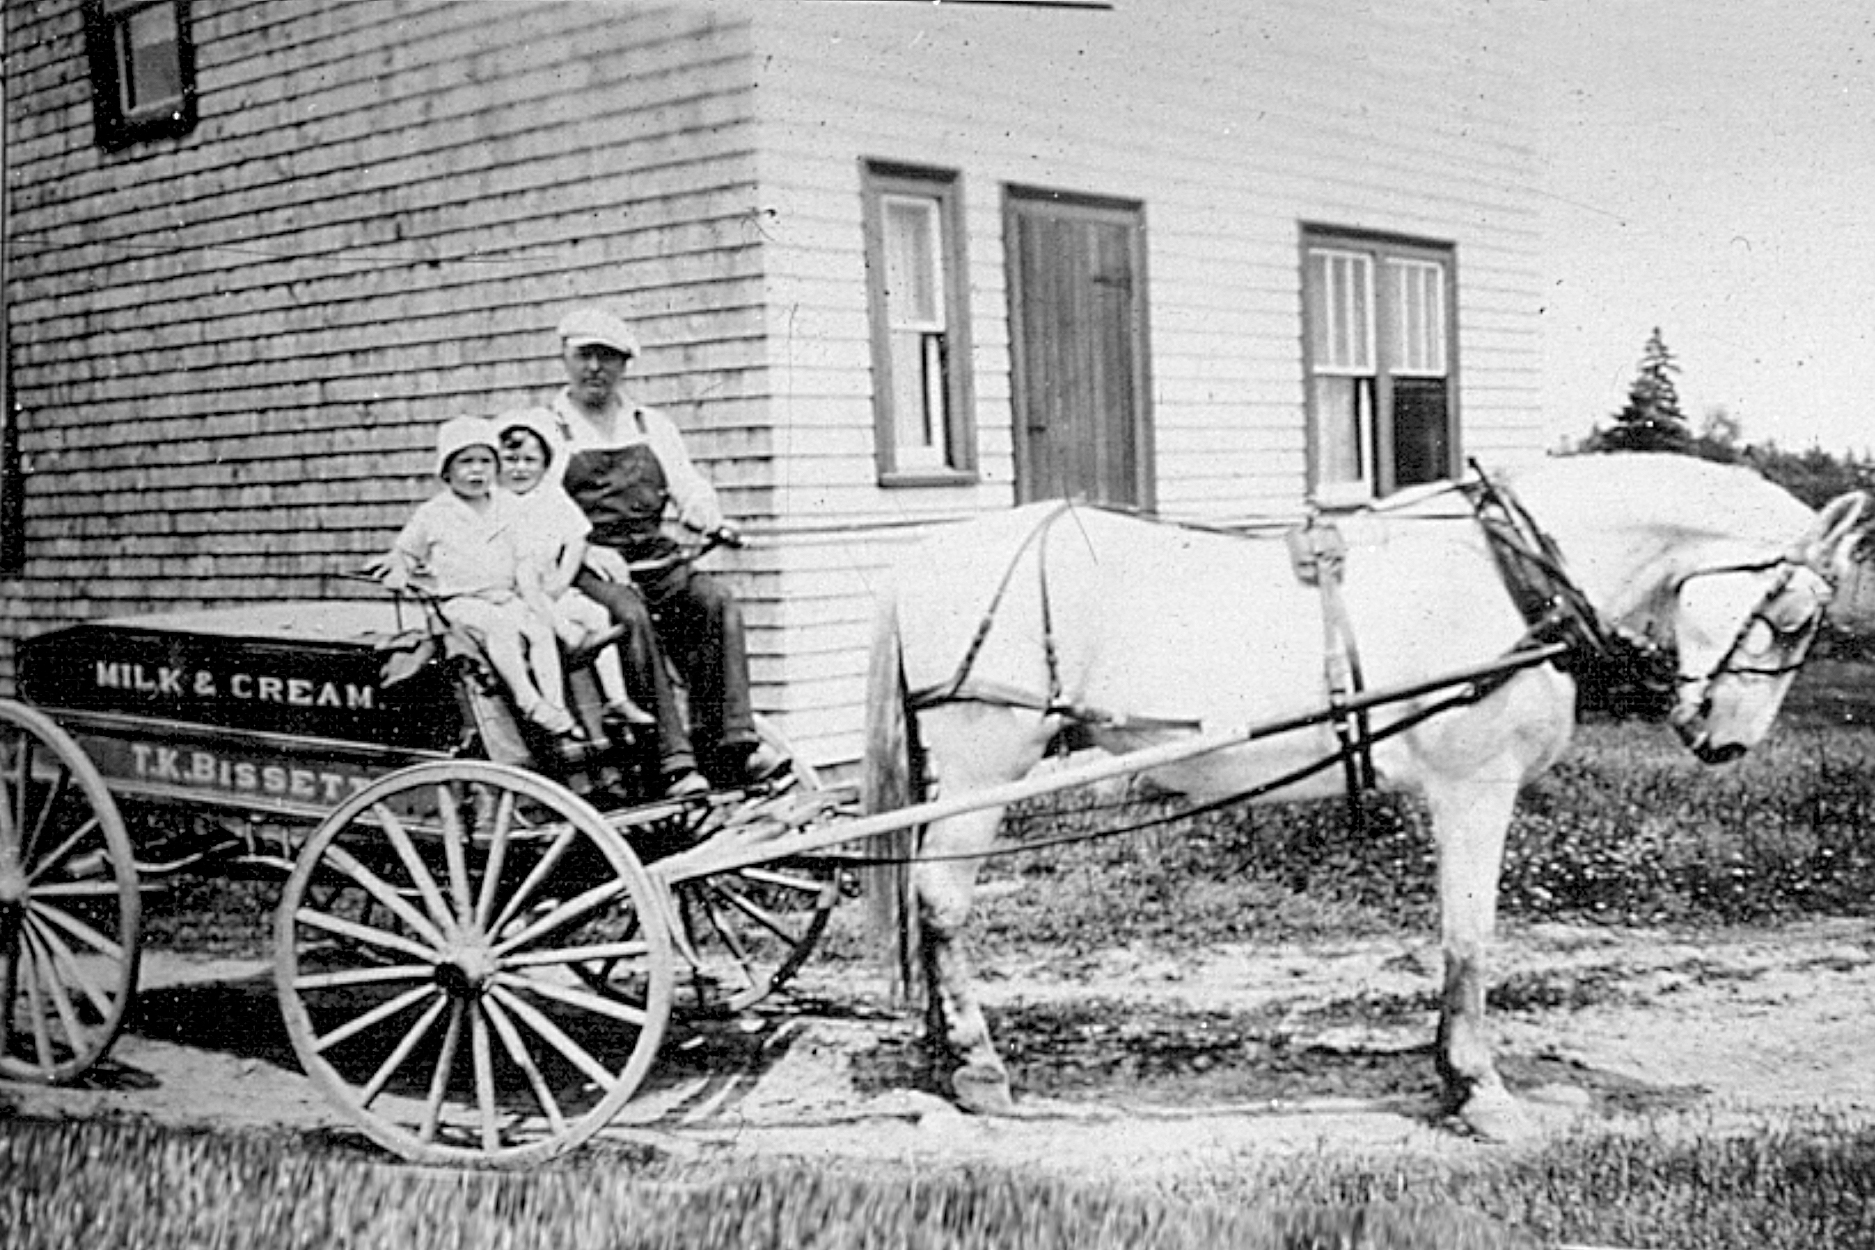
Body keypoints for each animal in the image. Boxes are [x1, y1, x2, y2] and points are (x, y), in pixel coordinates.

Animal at [862, 457, 1860, 1146]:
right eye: (1793, 620)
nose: (1723, 741)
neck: (1510, 580)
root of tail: (918, 558)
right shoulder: (1472, 788)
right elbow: (1468, 937)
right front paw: (1477, 1090)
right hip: (986, 761)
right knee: (941, 901)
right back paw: (978, 1070)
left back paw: (943, 1054)